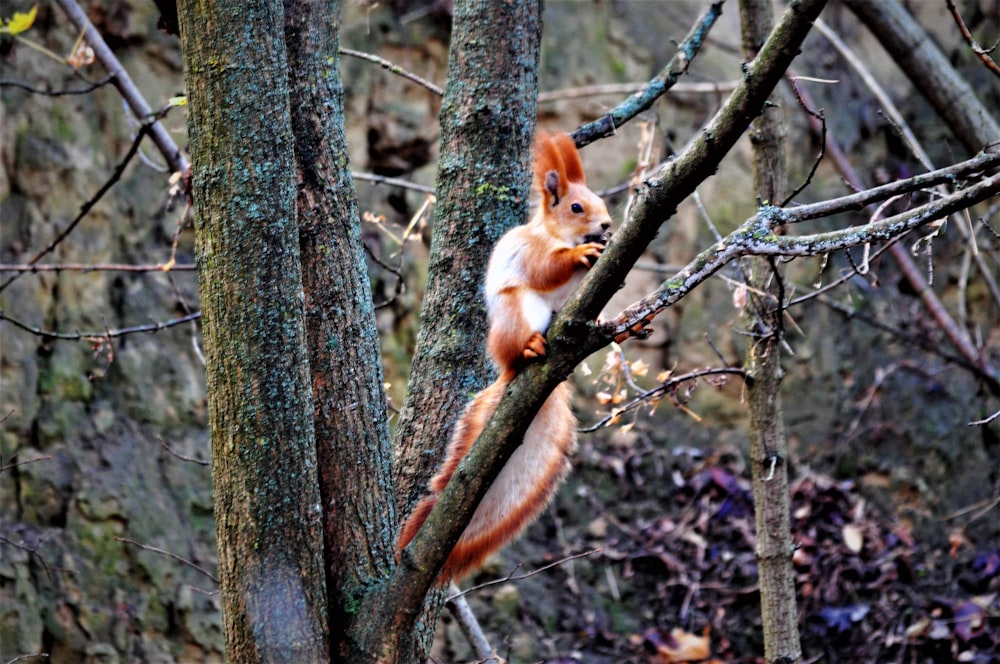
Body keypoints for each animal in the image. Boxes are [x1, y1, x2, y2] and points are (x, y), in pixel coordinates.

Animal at [398, 132, 608, 584]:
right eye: (576, 207)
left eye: (600, 200)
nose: (606, 226)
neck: (555, 233)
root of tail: (510, 373)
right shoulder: (531, 252)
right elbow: (545, 268)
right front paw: (579, 255)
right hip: (517, 313)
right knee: (519, 342)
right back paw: (530, 348)